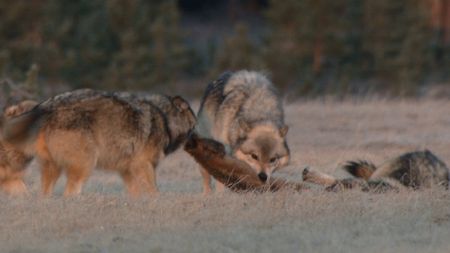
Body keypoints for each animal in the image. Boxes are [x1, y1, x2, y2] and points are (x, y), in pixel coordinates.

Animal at [1, 90, 195, 197]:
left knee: (44, 195)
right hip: (86, 163)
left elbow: (135, 193)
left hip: (53, 168)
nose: (197, 141)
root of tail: (46, 105)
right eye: (194, 127)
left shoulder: (127, 171)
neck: (164, 118)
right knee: (69, 193)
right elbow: (154, 191)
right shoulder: (144, 164)